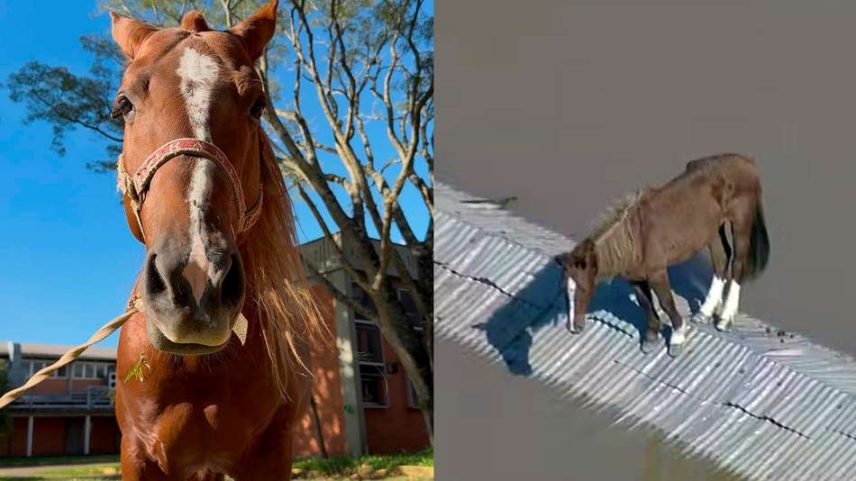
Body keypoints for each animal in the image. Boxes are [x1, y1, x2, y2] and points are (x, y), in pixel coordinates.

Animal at [557, 153, 770, 357]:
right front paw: (651, 338)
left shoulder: (657, 273)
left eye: (583, 288)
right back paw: (704, 312)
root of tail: (746, 162)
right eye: (564, 290)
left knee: (737, 264)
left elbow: (666, 302)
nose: (573, 328)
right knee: (721, 260)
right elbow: (645, 303)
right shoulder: (635, 278)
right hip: (713, 230)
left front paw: (677, 338)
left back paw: (724, 319)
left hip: (740, 224)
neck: (636, 238)